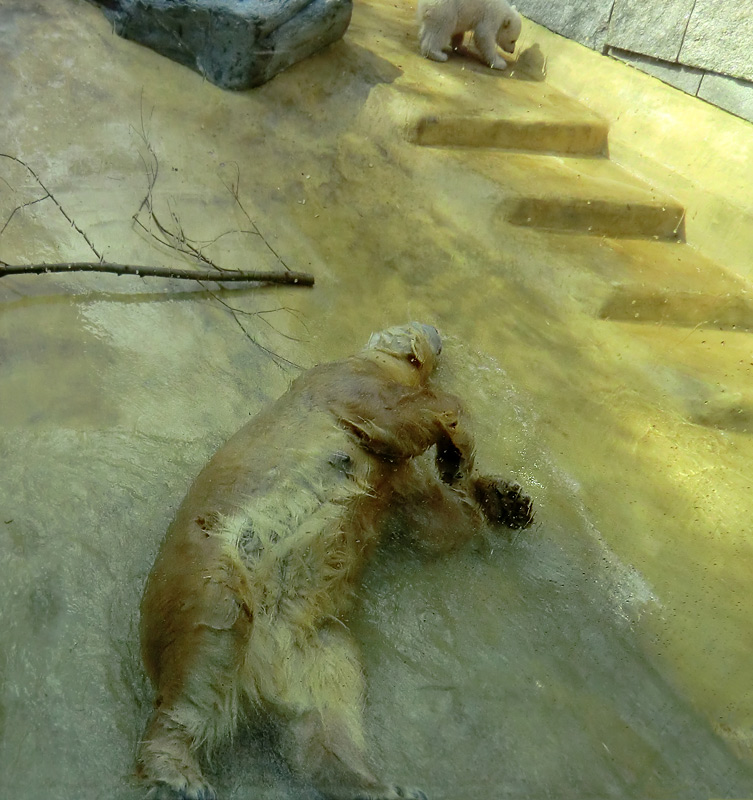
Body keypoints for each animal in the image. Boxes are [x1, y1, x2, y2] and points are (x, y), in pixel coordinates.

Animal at [137, 324, 536, 800]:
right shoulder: (342, 383)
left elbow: (437, 522)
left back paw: (383, 786)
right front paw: (459, 455)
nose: (439, 331)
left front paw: (508, 499)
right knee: (205, 653)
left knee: (331, 704)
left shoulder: (396, 479)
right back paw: (178, 773)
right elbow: (396, 415)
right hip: (213, 570)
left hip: (317, 644)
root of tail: (261, 672)